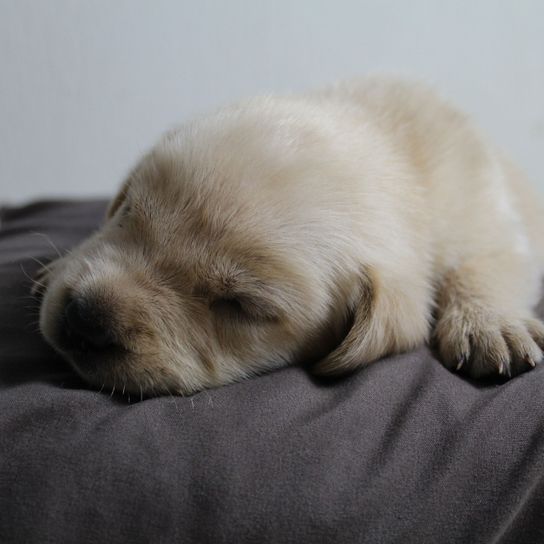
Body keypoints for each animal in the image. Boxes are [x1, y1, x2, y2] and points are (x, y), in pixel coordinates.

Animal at [34, 77, 544, 396]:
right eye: (129, 213)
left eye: (240, 306)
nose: (84, 319)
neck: (402, 156)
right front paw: (57, 265)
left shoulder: (485, 214)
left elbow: (487, 263)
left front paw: (489, 323)